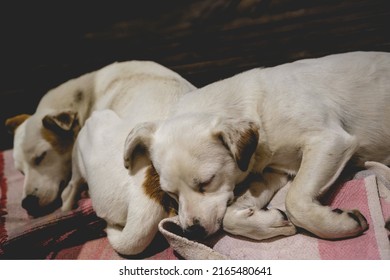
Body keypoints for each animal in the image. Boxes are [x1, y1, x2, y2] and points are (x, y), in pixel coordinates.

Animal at [124, 52, 390, 241]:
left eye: (207, 182)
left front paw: (339, 225)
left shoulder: (329, 141)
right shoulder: (272, 172)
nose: (192, 233)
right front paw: (270, 221)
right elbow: (229, 218)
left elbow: (295, 200)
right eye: (170, 194)